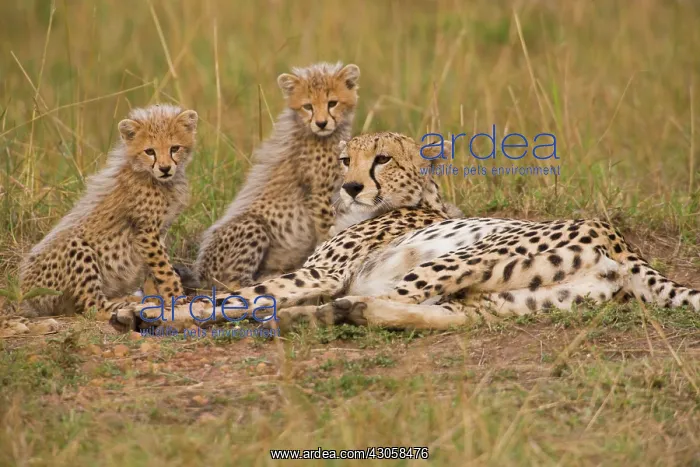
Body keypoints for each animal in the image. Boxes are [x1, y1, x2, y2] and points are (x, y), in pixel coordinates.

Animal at [2, 104, 198, 337]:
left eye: (174, 148)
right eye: (150, 151)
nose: (165, 168)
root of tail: (23, 291)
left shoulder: (157, 233)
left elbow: (153, 271)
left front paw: (157, 296)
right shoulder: (146, 233)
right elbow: (164, 269)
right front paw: (176, 296)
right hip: (78, 248)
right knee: (92, 306)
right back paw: (128, 304)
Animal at [111, 131, 700, 333]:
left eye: (383, 160)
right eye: (345, 159)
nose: (350, 187)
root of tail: (618, 238)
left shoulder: (318, 274)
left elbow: (230, 295)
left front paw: (143, 310)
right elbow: (232, 293)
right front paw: (137, 306)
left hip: (459, 258)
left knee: (396, 297)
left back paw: (312, 316)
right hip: (520, 299)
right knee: (451, 318)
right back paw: (333, 315)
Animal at [193, 62, 361, 293]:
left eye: (332, 103)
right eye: (308, 106)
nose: (321, 123)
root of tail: (201, 273)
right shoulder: (319, 196)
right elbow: (328, 230)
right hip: (254, 225)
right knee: (232, 282)